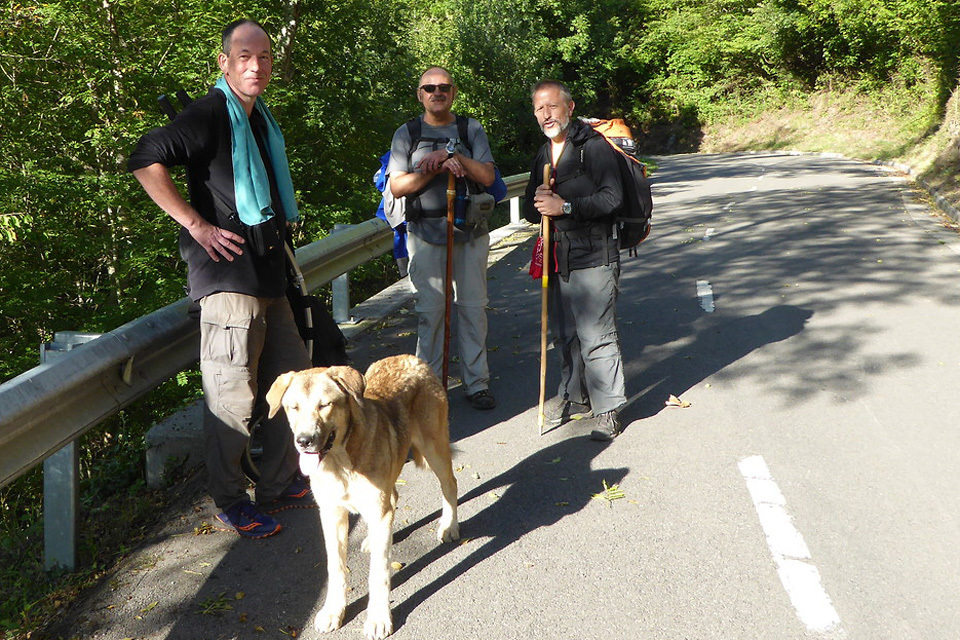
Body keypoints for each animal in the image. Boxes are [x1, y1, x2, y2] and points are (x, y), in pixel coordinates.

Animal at [262, 356, 458, 640]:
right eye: (293, 407)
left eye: (325, 405)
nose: (304, 441)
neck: (340, 463)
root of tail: (412, 358)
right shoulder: (331, 514)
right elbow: (335, 567)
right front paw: (334, 610)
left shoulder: (378, 511)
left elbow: (378, 573)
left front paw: (377, 617)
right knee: (395, 497)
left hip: (434, 446)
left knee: (449, 485)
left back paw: (449, 526)